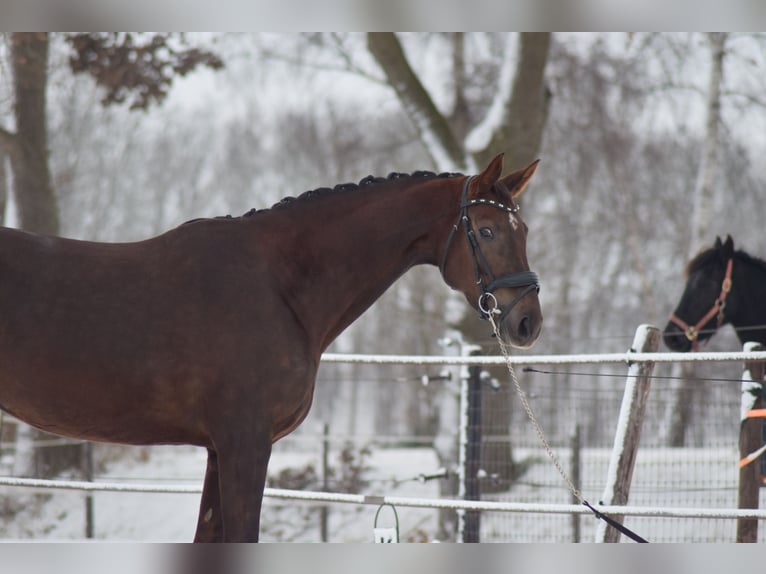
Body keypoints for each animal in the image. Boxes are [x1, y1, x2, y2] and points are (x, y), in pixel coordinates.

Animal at [0, 153, 542, 542]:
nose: (527, 322)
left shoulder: (219, 450)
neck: (279, 285)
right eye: (488, 231)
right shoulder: (244, 444)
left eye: (525, 231)